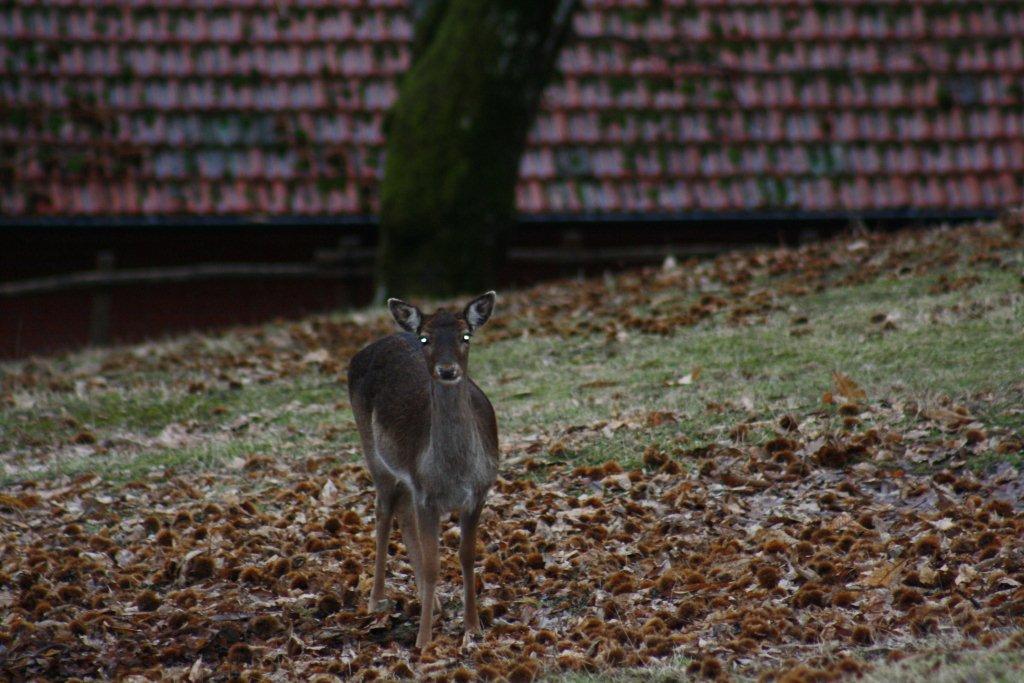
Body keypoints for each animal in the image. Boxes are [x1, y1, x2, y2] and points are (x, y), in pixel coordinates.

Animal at [348, 290, 499, 651]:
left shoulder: (478, 492)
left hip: (405, 477)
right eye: (426, 339)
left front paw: (472, 627)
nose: (447, 370)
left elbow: (466, 556)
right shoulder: (426, 495)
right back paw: (377, 600)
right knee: (383, 511)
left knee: (401, 511)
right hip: (373, 452)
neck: (454, 474)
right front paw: (423, 639)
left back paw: (433, 601)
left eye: (466, 336)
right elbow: (433, 565)